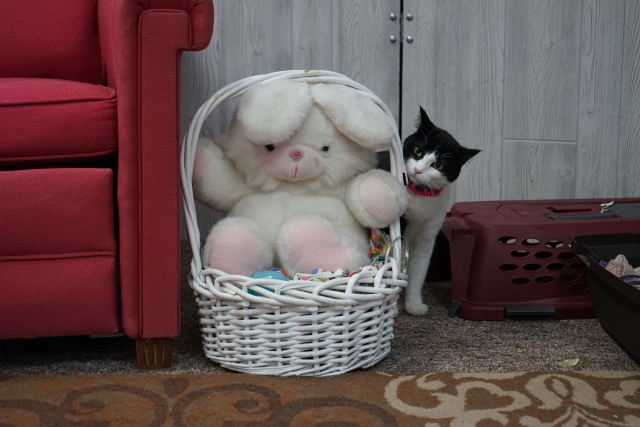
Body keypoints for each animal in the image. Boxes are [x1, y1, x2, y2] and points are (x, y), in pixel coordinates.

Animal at [402, 108, 478, 314]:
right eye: (418, 151)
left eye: (438, 165)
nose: (417, 171)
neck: (419, 193)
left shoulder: (428, 235)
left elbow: (419, 269)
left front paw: (413, 304)